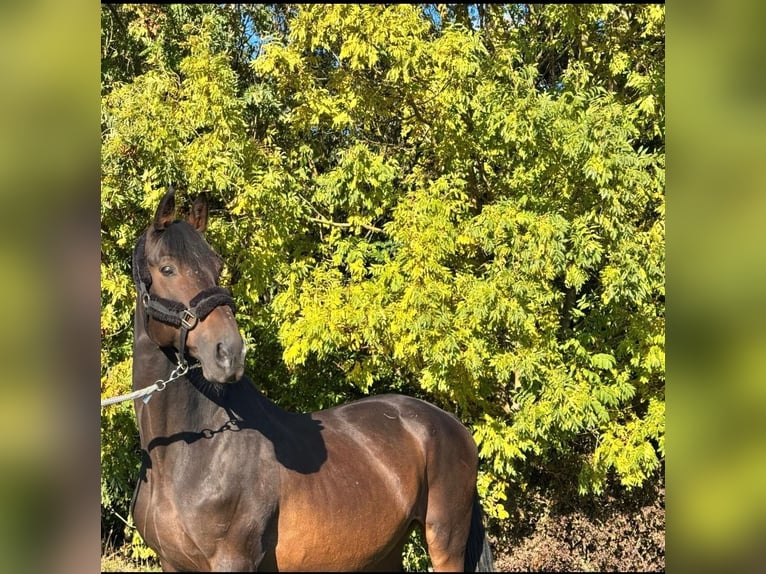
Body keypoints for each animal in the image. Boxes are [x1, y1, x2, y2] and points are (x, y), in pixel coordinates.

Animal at [128, 187, 495, 572]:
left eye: (218, 266)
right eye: (167, 268)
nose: (228, 353)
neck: (188, 454)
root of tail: (451, 424)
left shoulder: (233, 560)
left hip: (444, 540)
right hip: (387, 550)